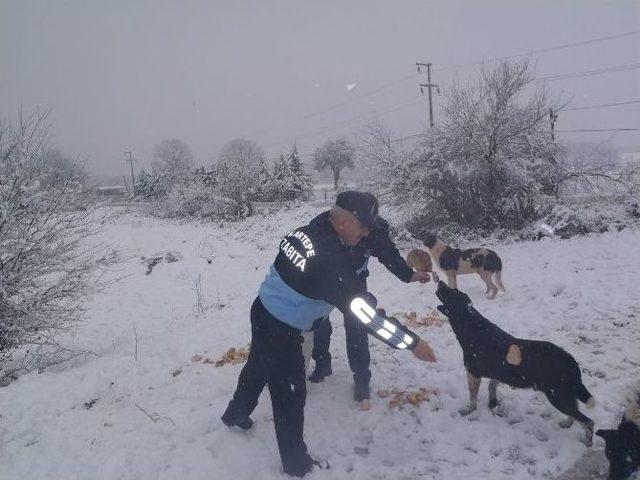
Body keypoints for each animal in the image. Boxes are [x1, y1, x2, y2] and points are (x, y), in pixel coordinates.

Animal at [432, 282, 596, 446]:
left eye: (453, 292)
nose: (439, 281)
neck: (470, 322)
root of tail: (573, 364)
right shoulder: (497, 372)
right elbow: (492, 386)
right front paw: (493, 403)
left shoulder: (473, 374)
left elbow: (473, 398)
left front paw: (469, 411)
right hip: (565, 396)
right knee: (575, 414)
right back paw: (567, 424)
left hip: (558, 396)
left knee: (588, 421)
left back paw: (587, 442)